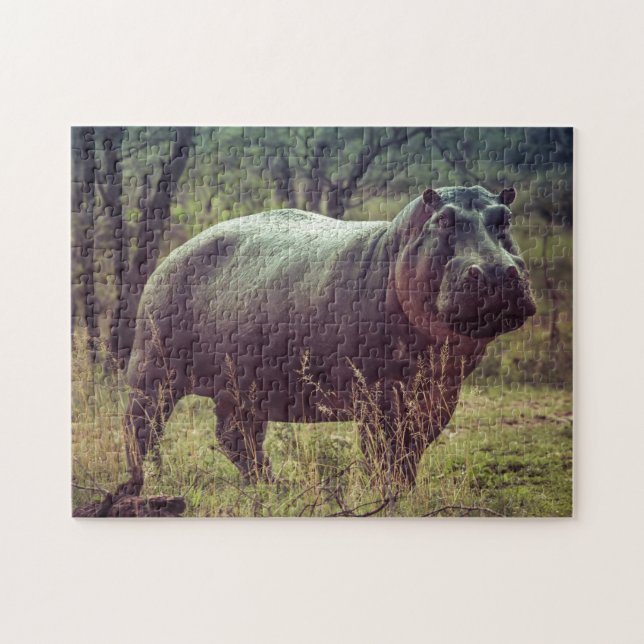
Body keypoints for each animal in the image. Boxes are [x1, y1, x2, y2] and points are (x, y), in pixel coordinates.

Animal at [118, 185, 536, 494]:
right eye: (444, 220)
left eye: (506, 218)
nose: (496, 272)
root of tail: (176, 251)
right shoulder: (376, 392)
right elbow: (381, 448)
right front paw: (385, 493)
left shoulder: (440, 391)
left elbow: (412, 447)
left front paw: (406, 489)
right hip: (153, 369)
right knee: (142, 425)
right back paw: (147, 482)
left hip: (242, 384)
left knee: (236, 436)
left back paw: (274, 487)